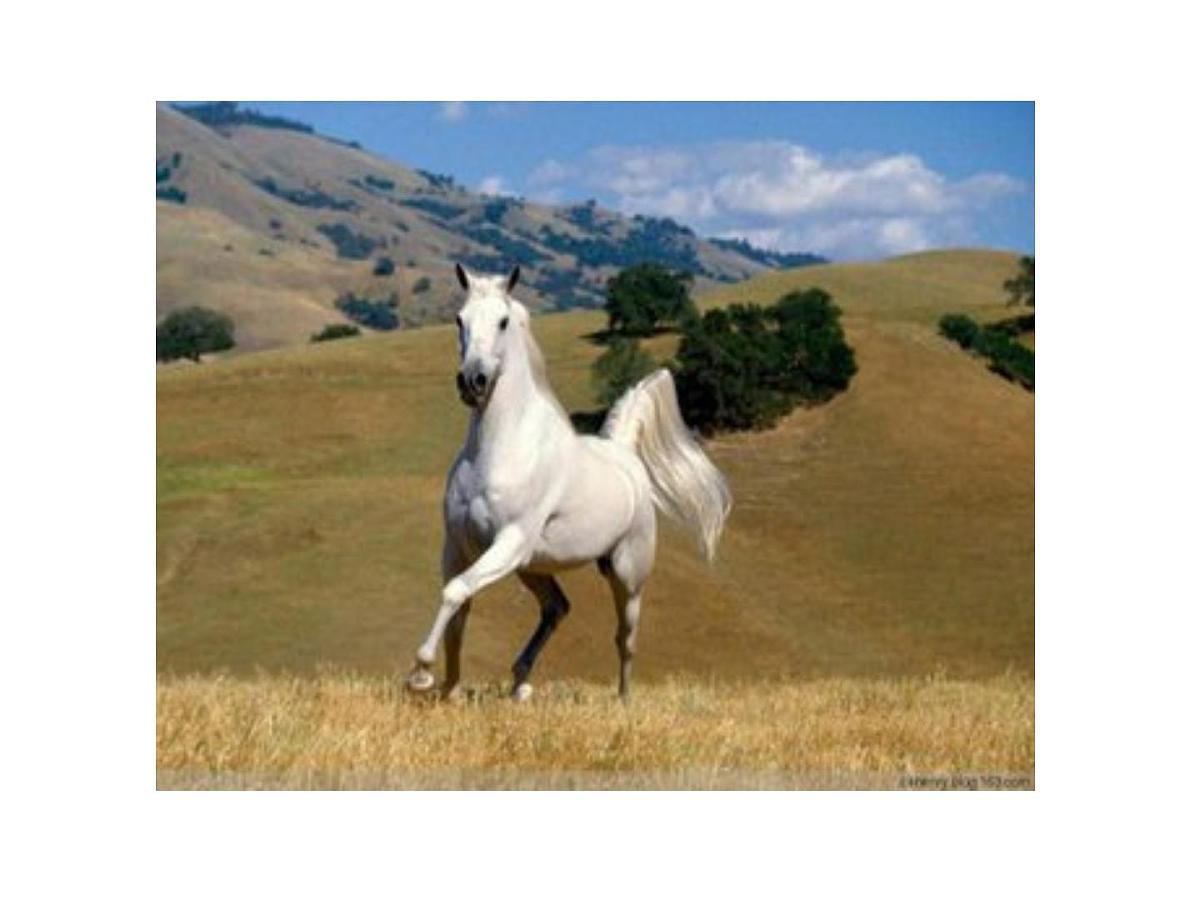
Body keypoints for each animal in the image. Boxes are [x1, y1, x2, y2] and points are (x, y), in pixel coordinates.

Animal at [405, 263, 731, 701]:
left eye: (503, 321)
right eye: (460, 319)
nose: (472, 381)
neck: (498, 450)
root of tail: (624, 454)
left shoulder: (509, 541)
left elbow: (455, 592)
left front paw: (421, 674)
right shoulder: (459, 546)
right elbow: (459, 611)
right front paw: (448, 690)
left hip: (626, 574)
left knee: (625, 638)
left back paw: (622, 701)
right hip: (533, 567)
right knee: (557, 608)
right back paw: (520, 683)